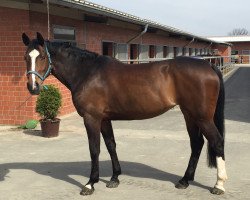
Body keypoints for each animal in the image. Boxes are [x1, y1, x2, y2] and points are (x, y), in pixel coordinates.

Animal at [22, 32, 227, 195]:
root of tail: (209, 66)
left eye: (41, 56)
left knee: (216, 141)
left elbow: (94, 149)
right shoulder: (104, 119)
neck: (87, 72)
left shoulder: (92, 118)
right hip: (189, 115)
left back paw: (219, 185)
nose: (33, 87)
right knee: (197, 144)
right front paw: (114, 178)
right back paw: (185, 180)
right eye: (25, 57)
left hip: (202, 117)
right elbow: (111, 145)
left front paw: (90, 184)